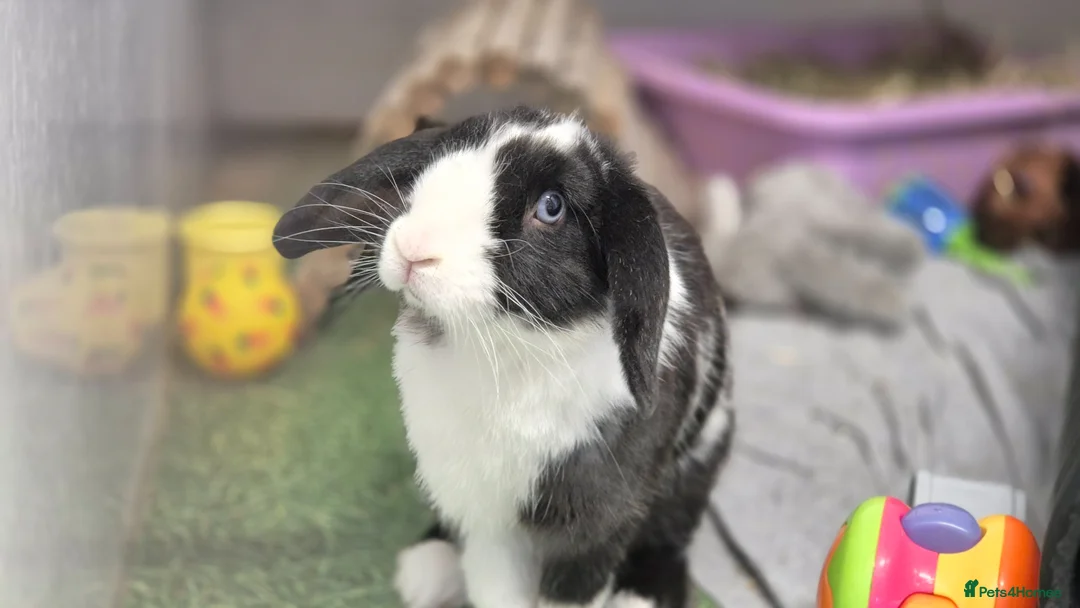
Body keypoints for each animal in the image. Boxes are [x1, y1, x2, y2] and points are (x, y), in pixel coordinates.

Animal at [272, 107, 735, 608]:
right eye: (437, 162)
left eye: (551, 207)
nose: (413, 249)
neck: (505, 343)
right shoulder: (485, 518)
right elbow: (495, 589)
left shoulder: (594, 526)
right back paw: (427, 569)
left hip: (695, 472)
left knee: (669, 539)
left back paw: (641, 596)